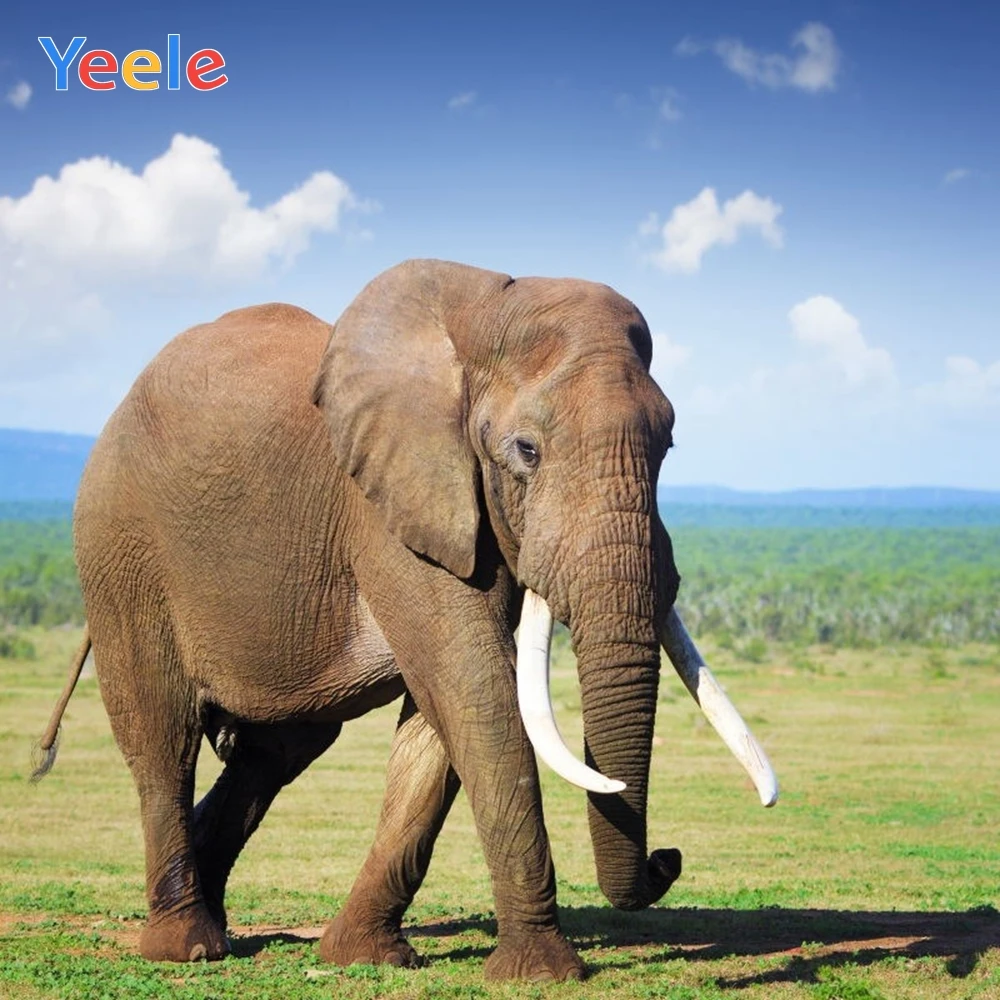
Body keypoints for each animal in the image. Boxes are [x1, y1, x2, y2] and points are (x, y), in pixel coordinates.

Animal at [34, 259, 777, 981]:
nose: (667, 859)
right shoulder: (390, 506)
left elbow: (443, 717)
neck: (480, 316)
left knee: (276, 751)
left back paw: (215, 922)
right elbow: (473, 686)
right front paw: (542, 975)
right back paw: (186, 947)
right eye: (526, 451)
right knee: (164, 736)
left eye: (668, 447)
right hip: (120, 550)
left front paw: (364, 957)